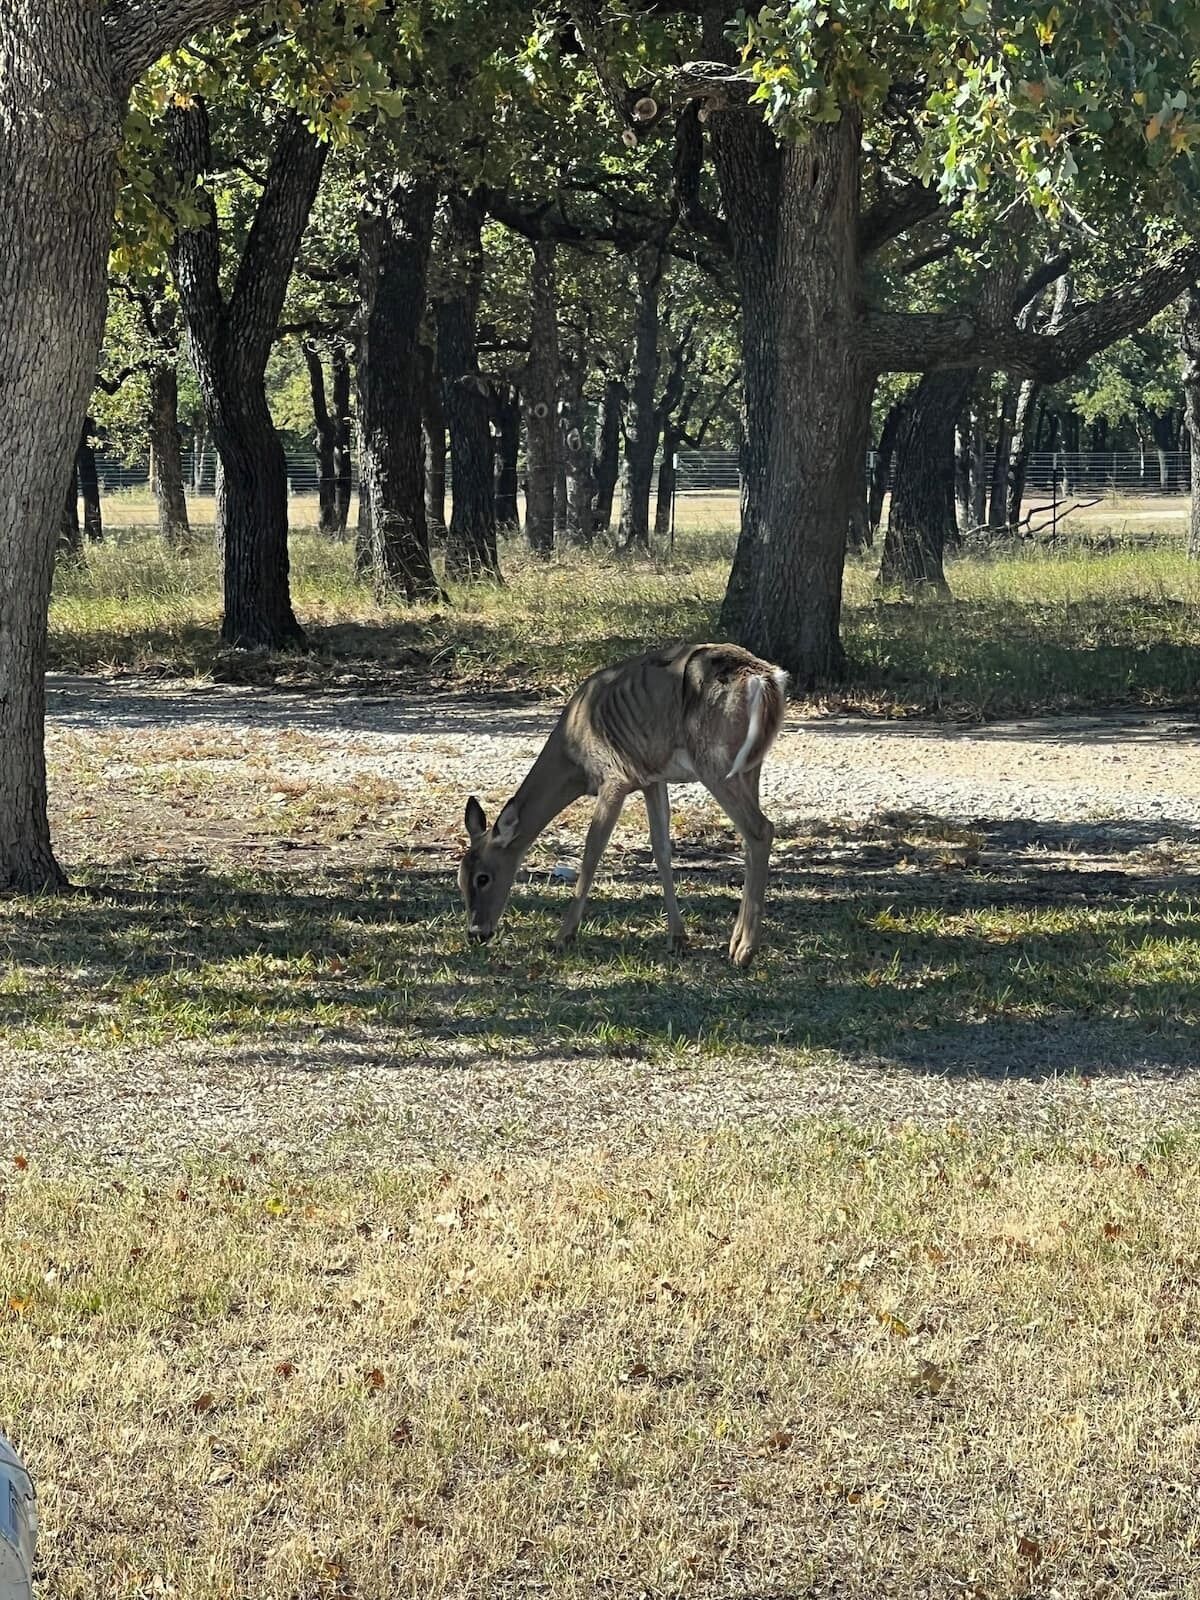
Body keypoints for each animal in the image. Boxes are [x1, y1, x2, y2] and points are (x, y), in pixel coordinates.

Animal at [459, 642, 788, 966]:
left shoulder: (615, 777)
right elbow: (661, 850)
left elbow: (591, 852)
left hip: (714, 760)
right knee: (749, 836)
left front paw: (563, 936)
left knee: (761, 829)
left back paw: (744, 952)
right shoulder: (651, 778)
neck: (574, 756)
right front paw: (678, 938)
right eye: (460, 880)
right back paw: (734, 943)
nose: (476, 933)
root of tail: (766, 678)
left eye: (483, 878)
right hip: (748, 764)